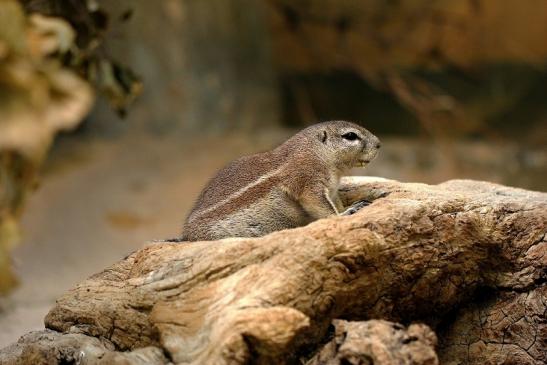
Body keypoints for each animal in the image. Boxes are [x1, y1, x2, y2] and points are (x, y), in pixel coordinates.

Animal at [180, 121, 382, 240]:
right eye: (350, 136)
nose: (379, 144)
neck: (315, 152)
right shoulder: (307, 181)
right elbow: (323, 208)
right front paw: (348, 212)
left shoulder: (332, 191)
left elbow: (336, 203)